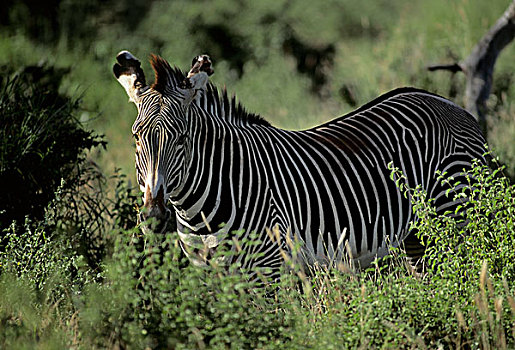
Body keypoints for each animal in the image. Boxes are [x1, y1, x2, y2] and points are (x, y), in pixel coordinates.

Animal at [113, 50, 488, 278]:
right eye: (135, 138)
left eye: (182, 138)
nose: (154, 216)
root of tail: (450, 104)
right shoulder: (210, 277)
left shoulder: (267, 273)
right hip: (417, 239)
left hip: (455, 215)